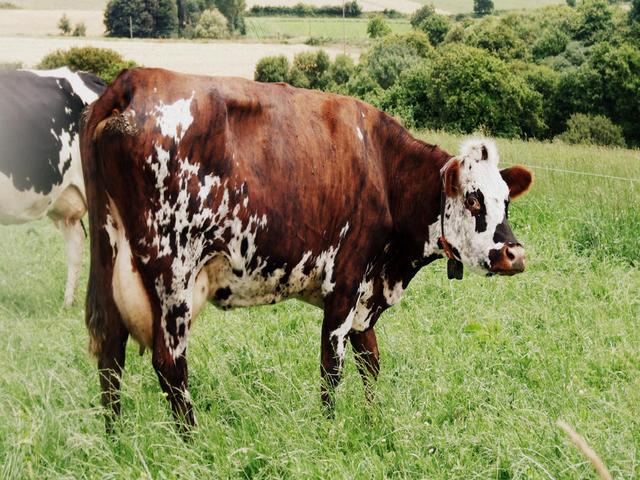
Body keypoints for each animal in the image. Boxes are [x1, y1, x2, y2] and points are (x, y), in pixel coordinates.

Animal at [80, 68, 533, 432]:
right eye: (473, 199)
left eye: (506, 200)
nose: (515, 254)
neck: (384, 169)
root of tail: (132, 82)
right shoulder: (346, 280)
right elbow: (332, 365)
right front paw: (330, 428)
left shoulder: (366, 293)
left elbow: (370, 360)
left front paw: (372, 419)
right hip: (172, 273)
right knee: (169, 363)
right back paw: (192, 442)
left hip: (108, 254)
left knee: (110, 350)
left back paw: (115, 437)